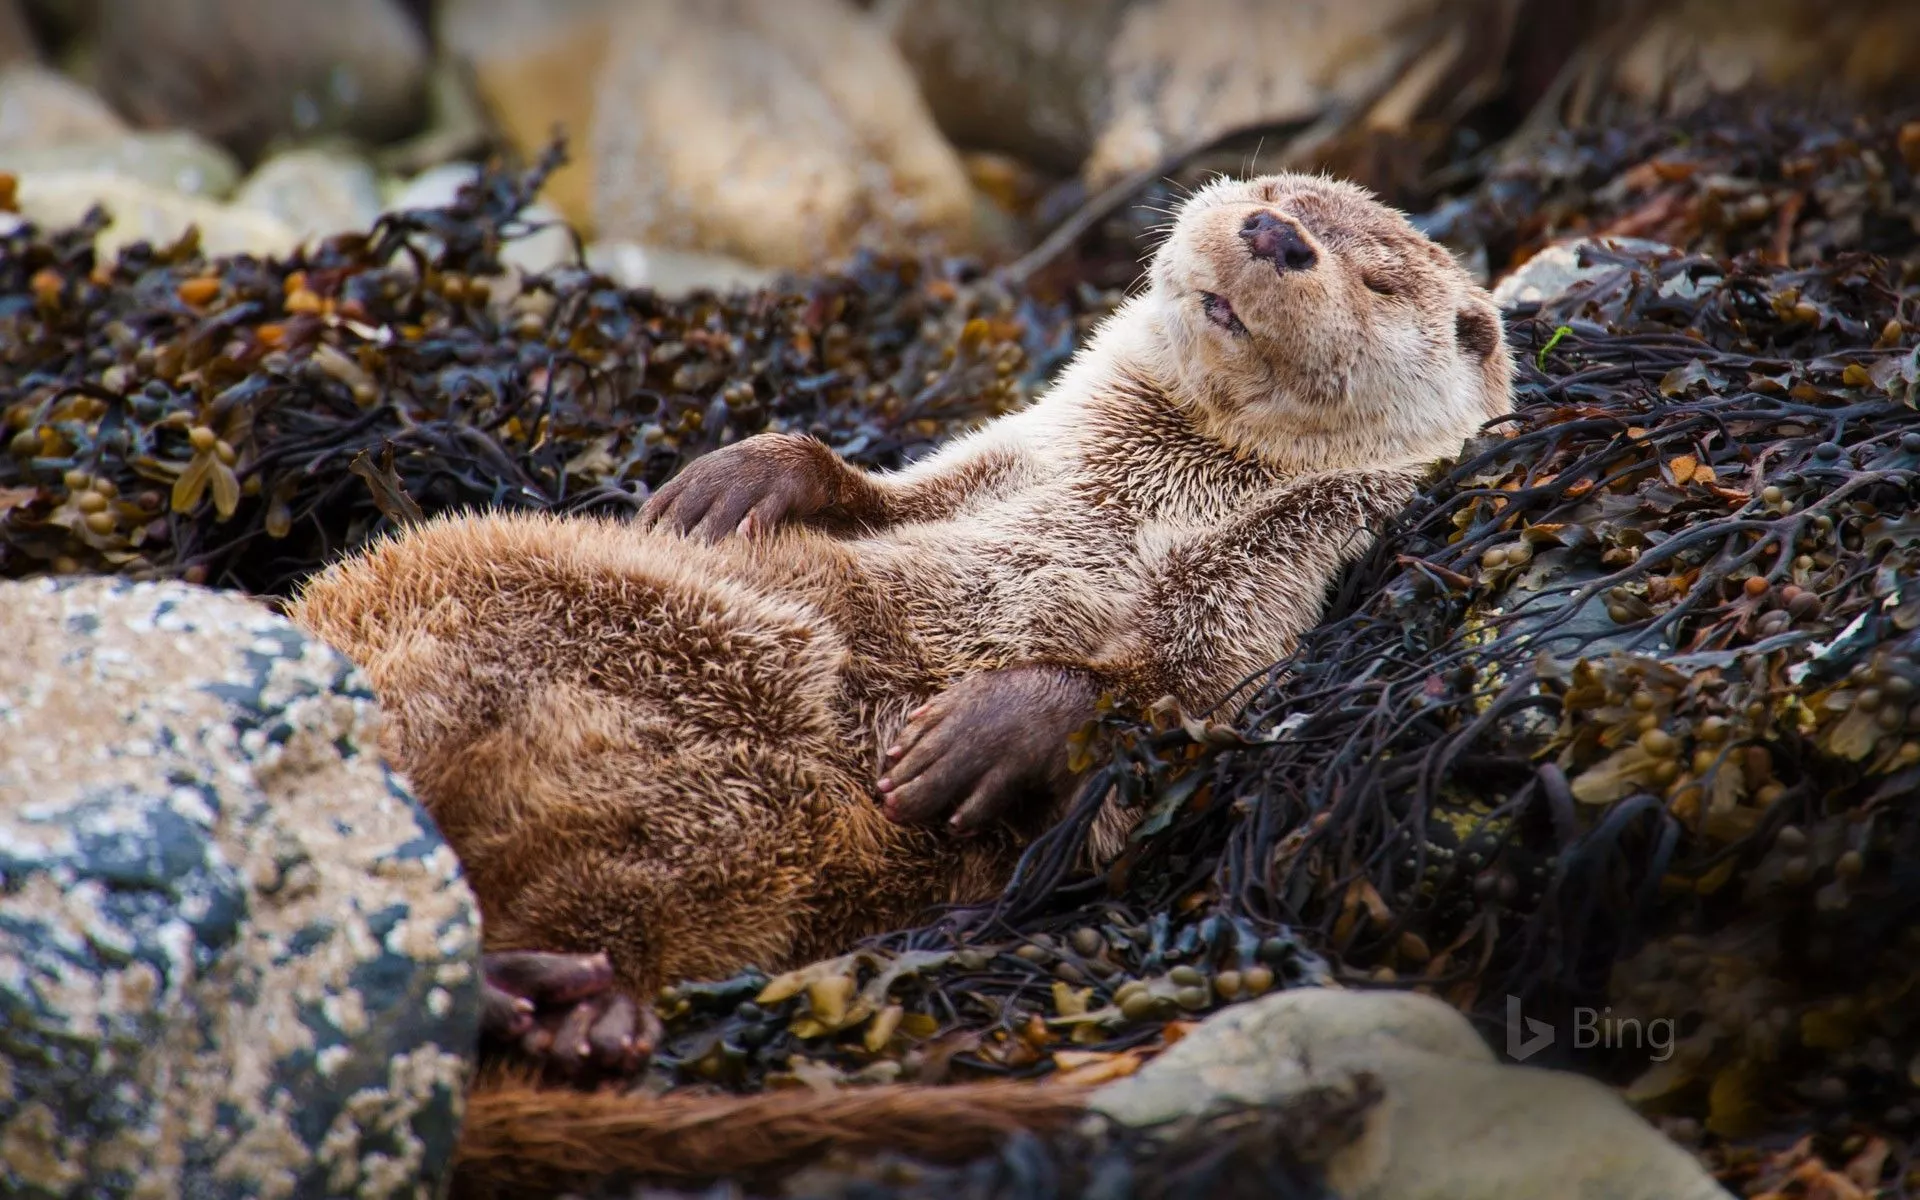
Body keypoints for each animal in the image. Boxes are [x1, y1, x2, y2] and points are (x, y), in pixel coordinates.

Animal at [290, 172, 1512, 1186]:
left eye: (1377, 275)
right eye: (1269, 194)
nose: (1274, 234)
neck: (1147, 490)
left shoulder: (1273, 588)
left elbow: (1159, 711)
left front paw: (989, 727)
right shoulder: (1004, 459)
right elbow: (880, 492)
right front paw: (744, 476)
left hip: (731, 821)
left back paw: (564, 1012)